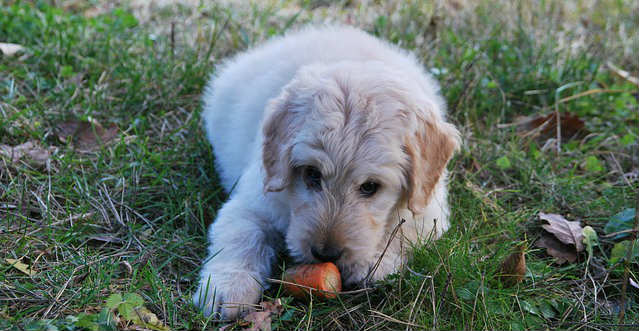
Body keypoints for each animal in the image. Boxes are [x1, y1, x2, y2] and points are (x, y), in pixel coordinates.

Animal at [195, 24, 460, 320]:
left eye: (370, 187)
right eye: (311, 173)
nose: (325, 254)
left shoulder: (429, 210)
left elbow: (404, 231)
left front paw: (375, 263)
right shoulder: (254, 200)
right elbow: (240, 235)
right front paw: (227, 288)